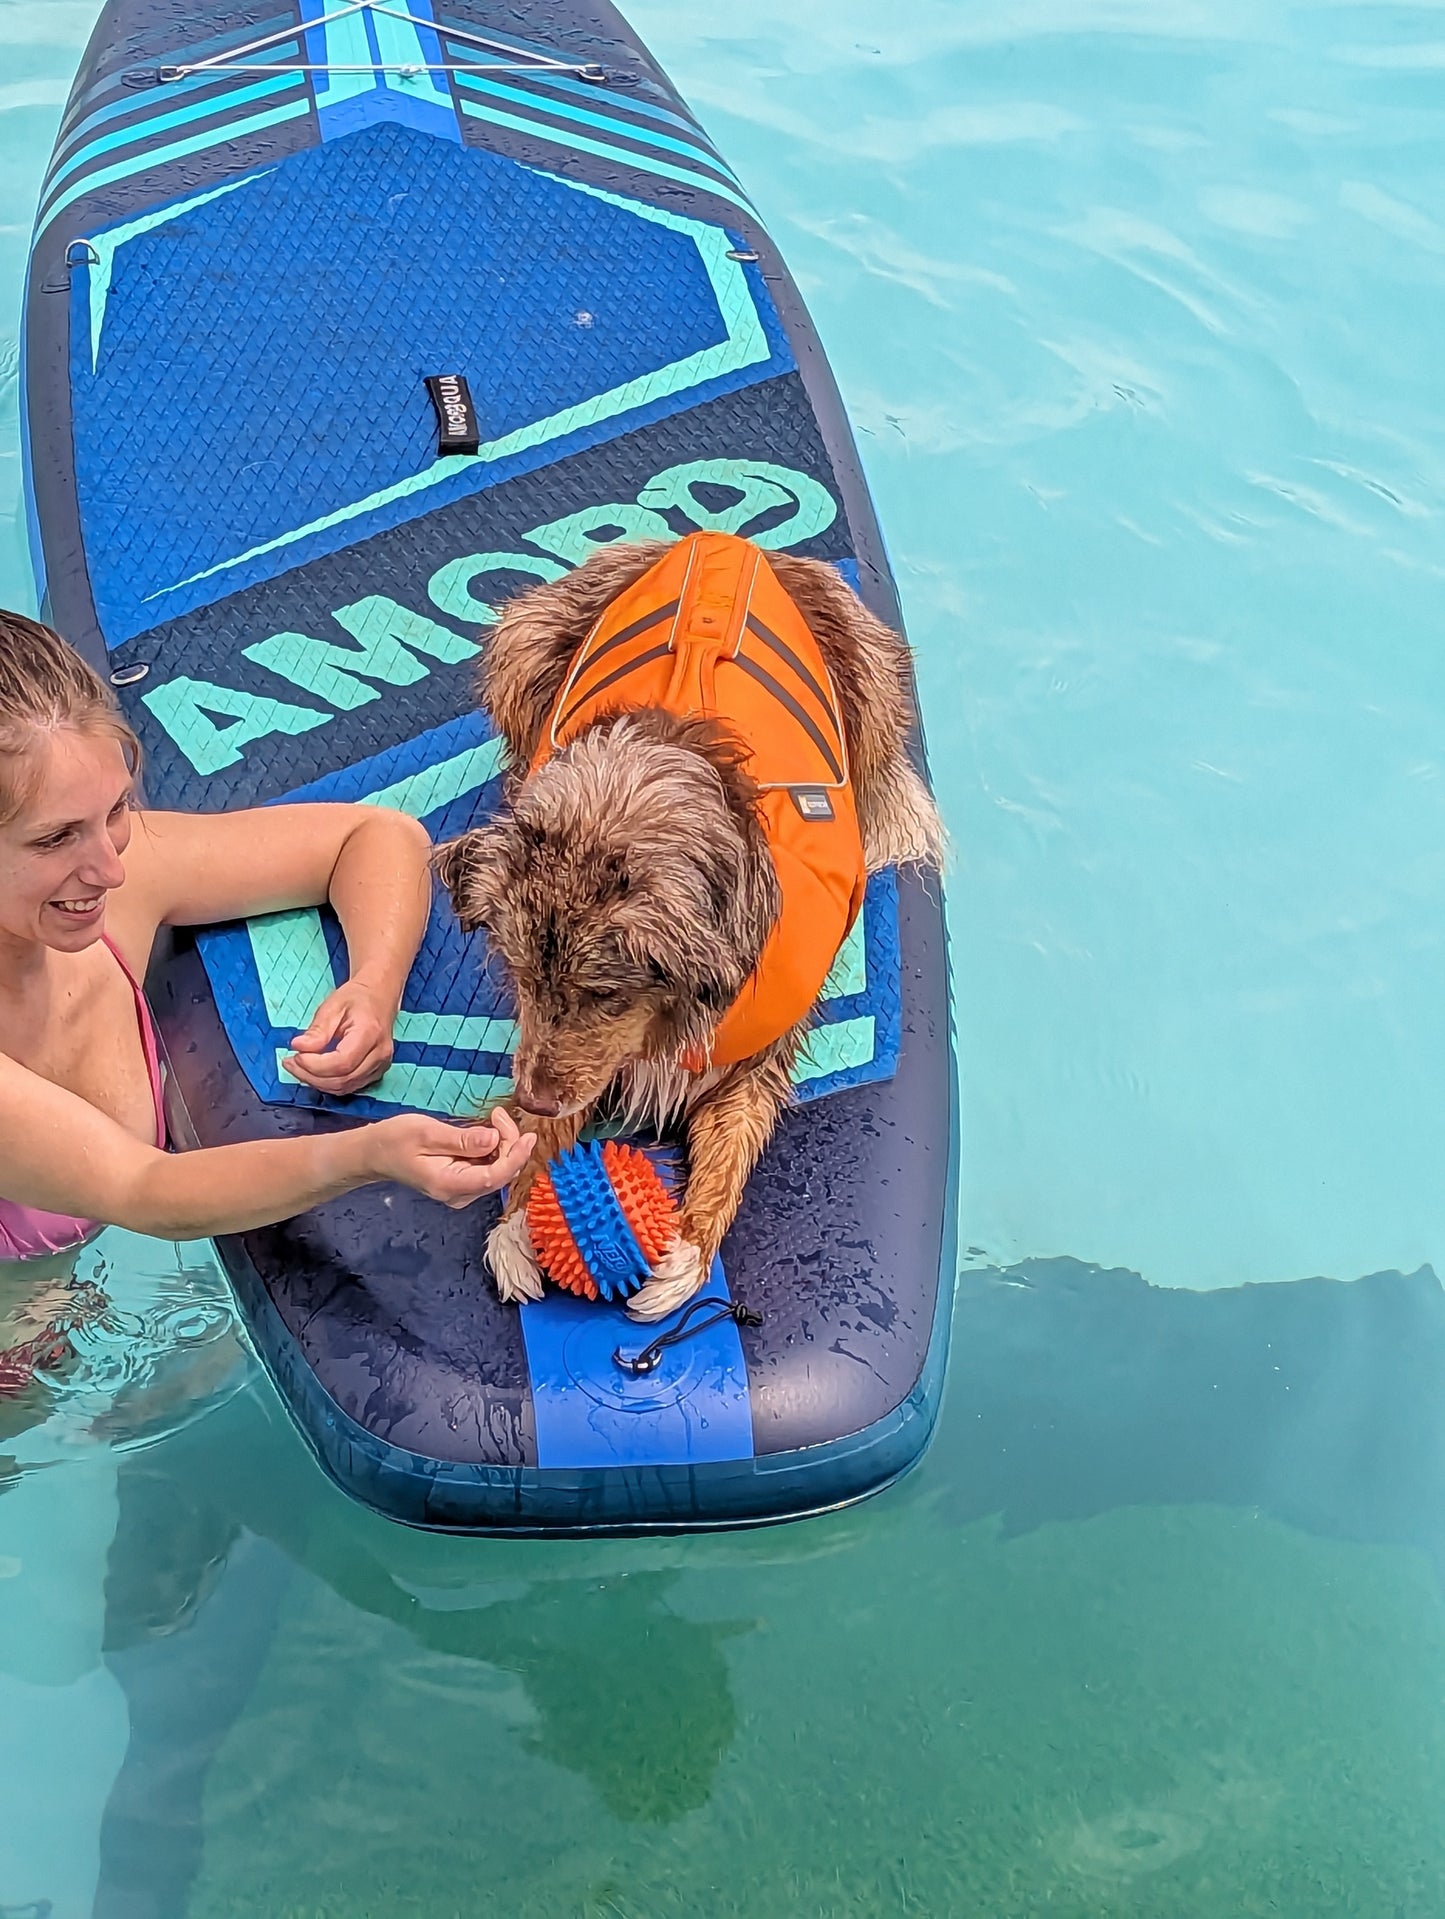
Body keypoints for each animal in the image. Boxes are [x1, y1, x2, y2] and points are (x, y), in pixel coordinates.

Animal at [433, 537, 940, 1320]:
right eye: (521, 977)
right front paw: (517, 1221)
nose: (537, 1096)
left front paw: (686, 1257)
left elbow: (730, 1154)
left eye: (606, 994)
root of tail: (727, 541)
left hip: (876, 679)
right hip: (523, 640)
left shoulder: (754, 1058)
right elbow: (542, 1127)